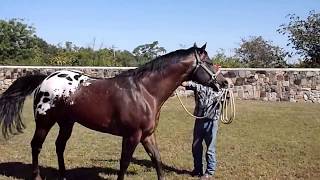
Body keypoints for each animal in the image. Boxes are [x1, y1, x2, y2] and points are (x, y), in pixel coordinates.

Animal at [0, 43, 228, 180]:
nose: (224, 83)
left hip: (67, 123)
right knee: (36, 146)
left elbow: (156, 159)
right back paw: (37, 176)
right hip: (45, 122)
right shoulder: (132, 135)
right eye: (209, 62)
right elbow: (124, 163)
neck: (145, 91)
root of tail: (45, 79)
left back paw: (64, 175)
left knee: (59, 146)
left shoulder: (147, 135)